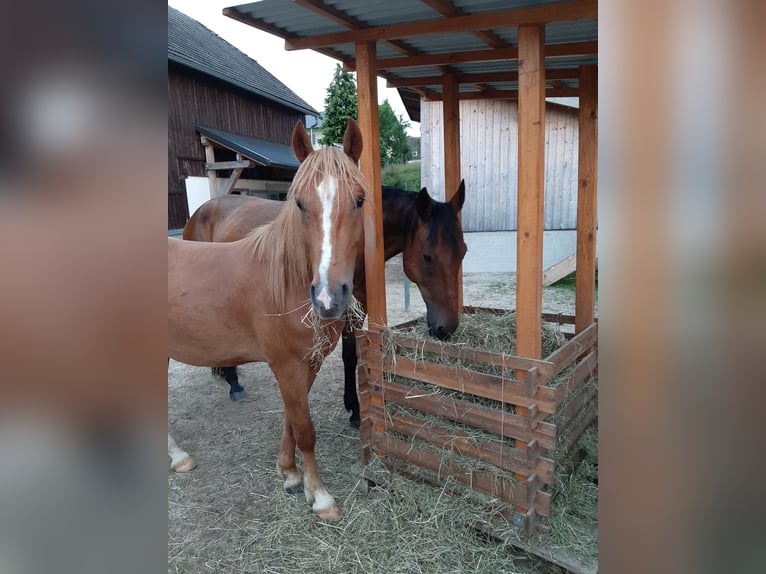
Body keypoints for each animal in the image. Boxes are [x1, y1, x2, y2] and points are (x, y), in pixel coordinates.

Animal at [170, 119, 368, 524]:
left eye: (359, 199)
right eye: (299, 203)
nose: (329, 298)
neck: (287, 281)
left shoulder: (308, 363)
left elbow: (292, 419)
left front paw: (290, 473)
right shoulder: (286, 366)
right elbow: (305, 428)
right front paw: (320, 496)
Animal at [184, 180, 468, 428]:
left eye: (463, 251)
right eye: (427, 256)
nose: (447, 328)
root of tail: (202, 209)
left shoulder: (356, 309)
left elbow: (351, 356)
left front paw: (354, 409)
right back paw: (234, 383)